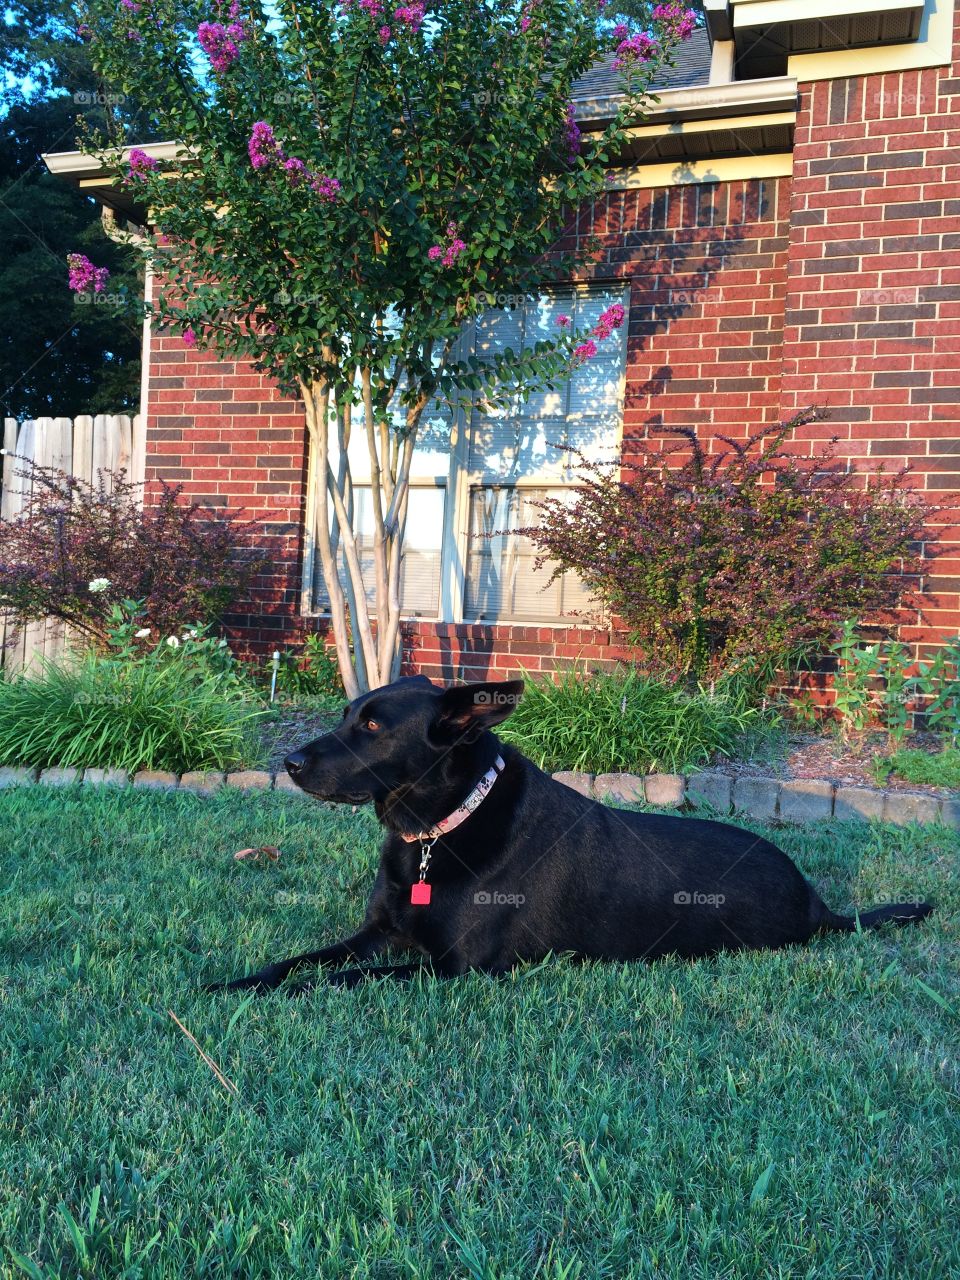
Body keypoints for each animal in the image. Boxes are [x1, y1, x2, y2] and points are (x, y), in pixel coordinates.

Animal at [208, 675, 931, 993]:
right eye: (346, 714)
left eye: (375, 727)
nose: (289, 762)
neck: (442, 827)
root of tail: (817, 903)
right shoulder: (377, 934)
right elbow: (300, 963)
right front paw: (234, 984)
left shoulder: (454, 969)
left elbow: (337, 981)